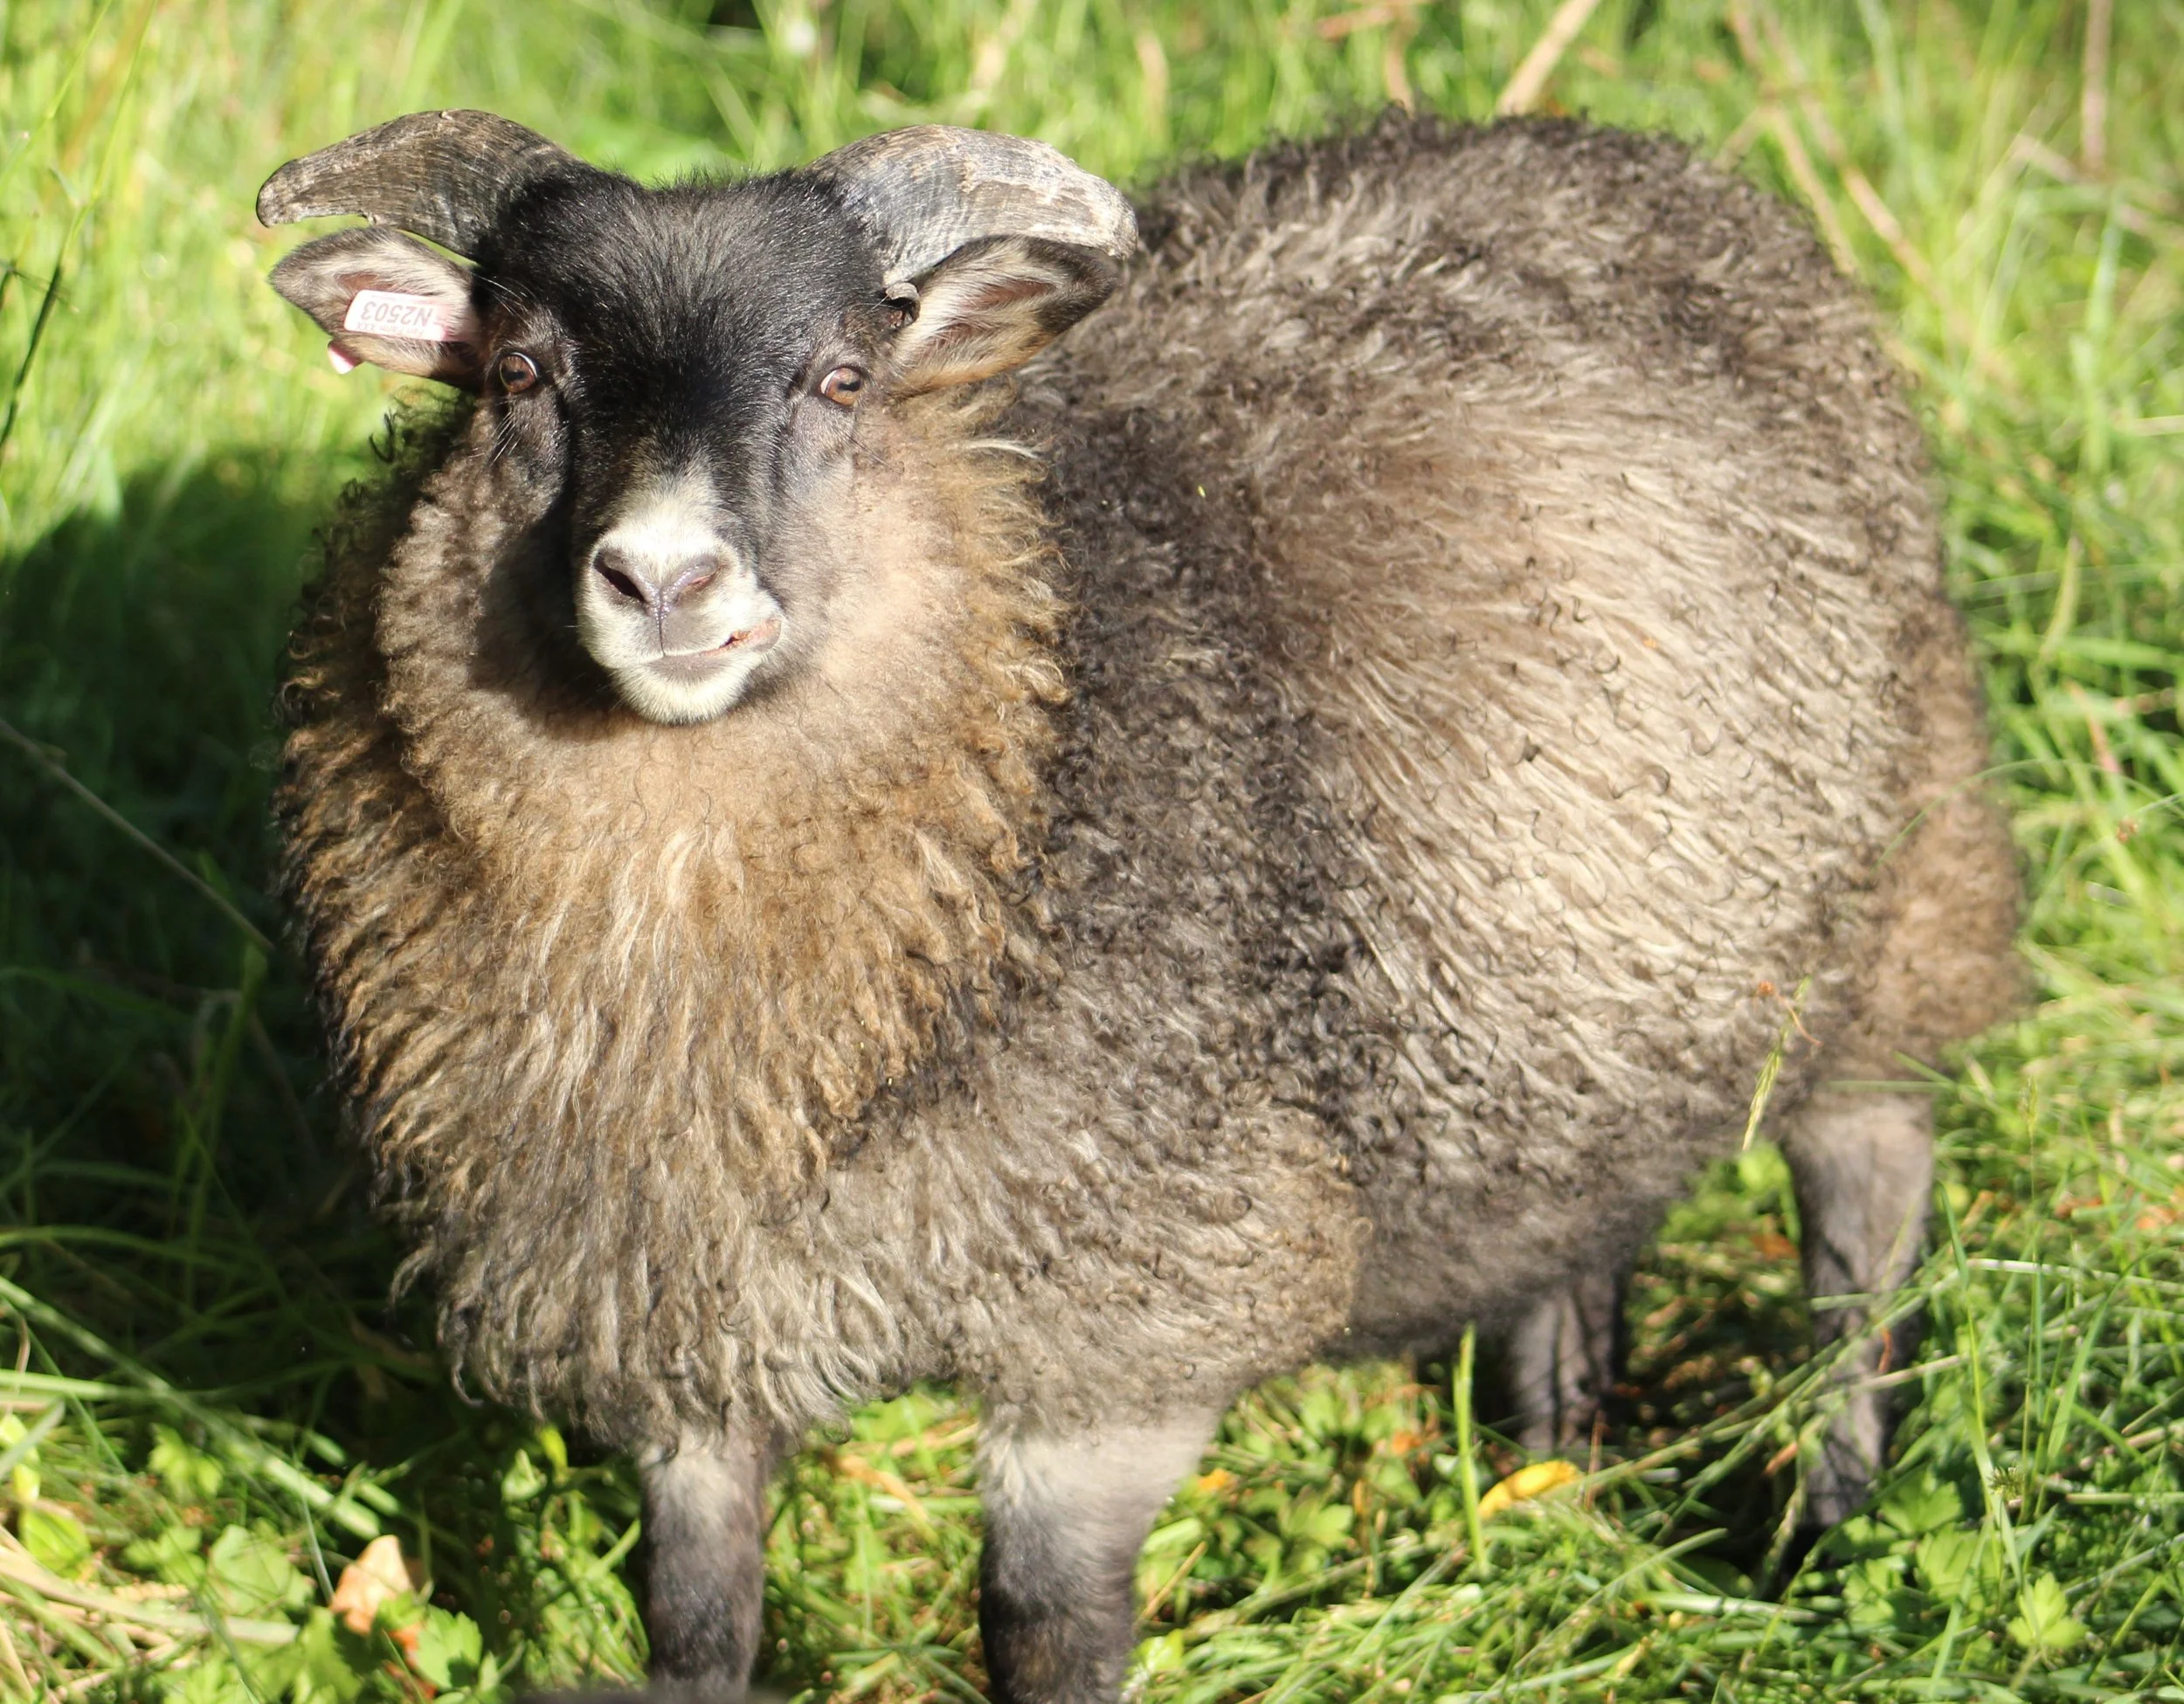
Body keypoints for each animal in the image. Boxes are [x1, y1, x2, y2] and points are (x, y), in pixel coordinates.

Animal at [257, 109, 2021, 1704]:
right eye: (518, 375)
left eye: (843, 377)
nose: (666, 581)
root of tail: (1651, 160)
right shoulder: (680, 1336)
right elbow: (699, 1630)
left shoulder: (1125, 1332)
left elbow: (1046, 1632)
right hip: (1589, 1010)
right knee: (1579, 1233)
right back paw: (1552, 1471)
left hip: (1903, 918)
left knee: (1862, 1232)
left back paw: (1831, 1527)